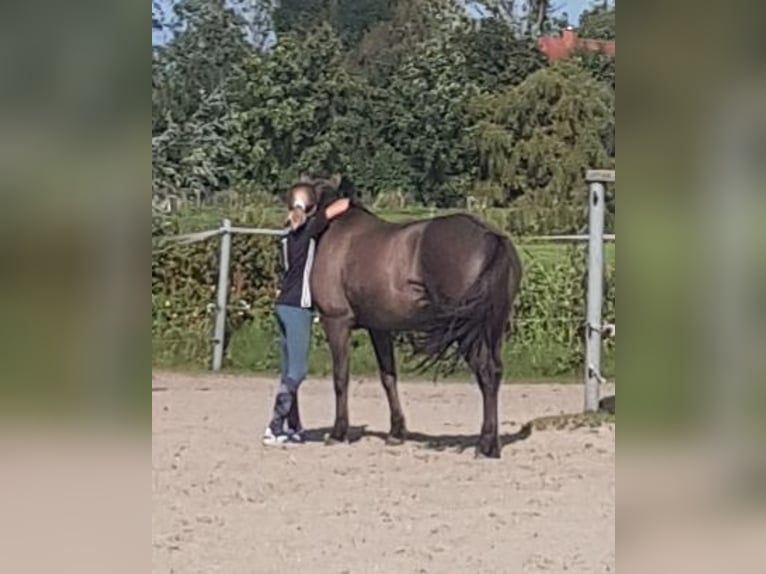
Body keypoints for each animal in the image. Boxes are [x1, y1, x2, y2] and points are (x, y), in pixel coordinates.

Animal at [296, 176, 524, 460]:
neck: (334, 229)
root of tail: (490, 237)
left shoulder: (336, 322)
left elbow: (341, 378)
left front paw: (338, 433)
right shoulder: (379, 328)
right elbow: (388, 377)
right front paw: (396, 432)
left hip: (467, 331)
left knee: (486, 372)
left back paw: (485, 446)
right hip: (492, 328)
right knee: (494, 373)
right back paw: (491, 445)